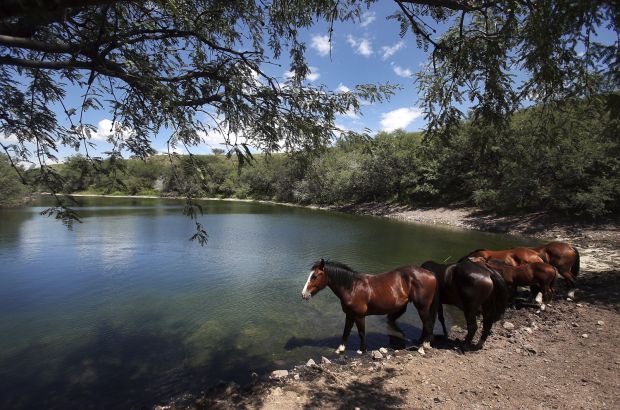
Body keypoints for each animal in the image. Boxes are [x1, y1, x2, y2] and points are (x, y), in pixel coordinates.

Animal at [300, 260, 436, 352]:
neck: (352, 287)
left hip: (422, 307)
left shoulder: (359, 316)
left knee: (428, 325)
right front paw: (341, 348)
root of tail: (431, 274)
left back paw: (424, 346)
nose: (303, 294)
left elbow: (361, 332)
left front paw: (362, 350)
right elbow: (346, 331)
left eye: (314, 276)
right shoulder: (350, 314)